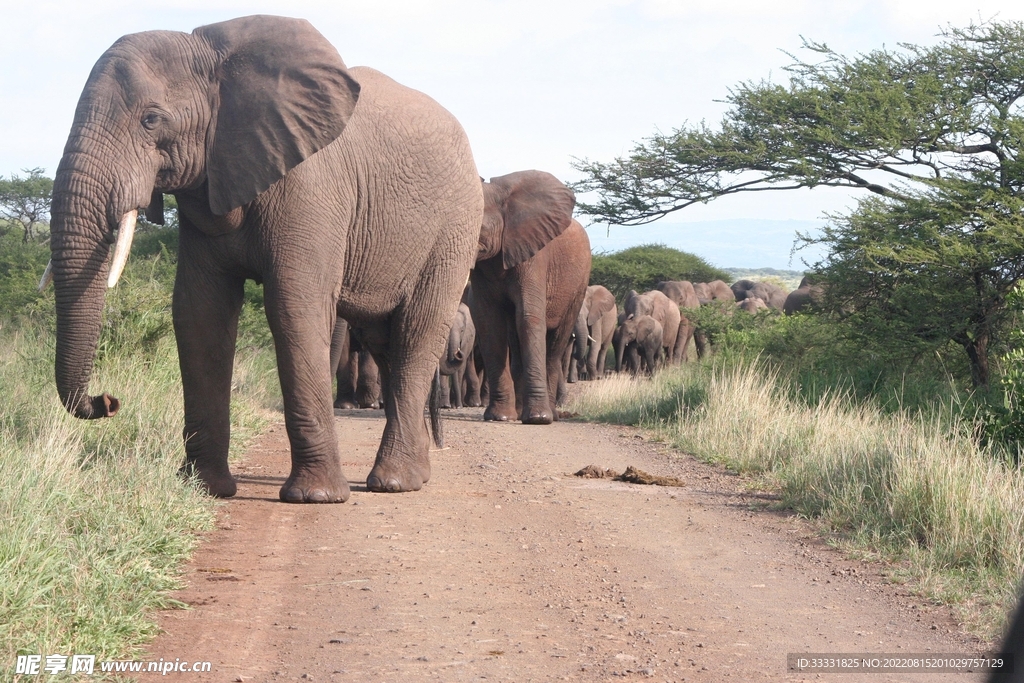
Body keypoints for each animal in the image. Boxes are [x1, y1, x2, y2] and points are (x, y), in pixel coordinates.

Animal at [47, 16, 483, 502]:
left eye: (151, 119)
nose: (109, 401)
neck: (215, 56)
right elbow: (199, 313)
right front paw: (207, 489)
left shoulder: (310, 186)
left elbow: (294, 306)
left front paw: (315, 498)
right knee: (385, 342)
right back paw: (414, 476)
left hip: (455, 228)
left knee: (416, 332)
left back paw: (393, 484)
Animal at [470, 170, 592, 424]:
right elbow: (488, 323)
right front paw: (499, 417)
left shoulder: (534, 255)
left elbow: (529, 318)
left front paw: (538, 418)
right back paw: (517, 412)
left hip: (579, 284)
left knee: (555, 347)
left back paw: (551, 415)